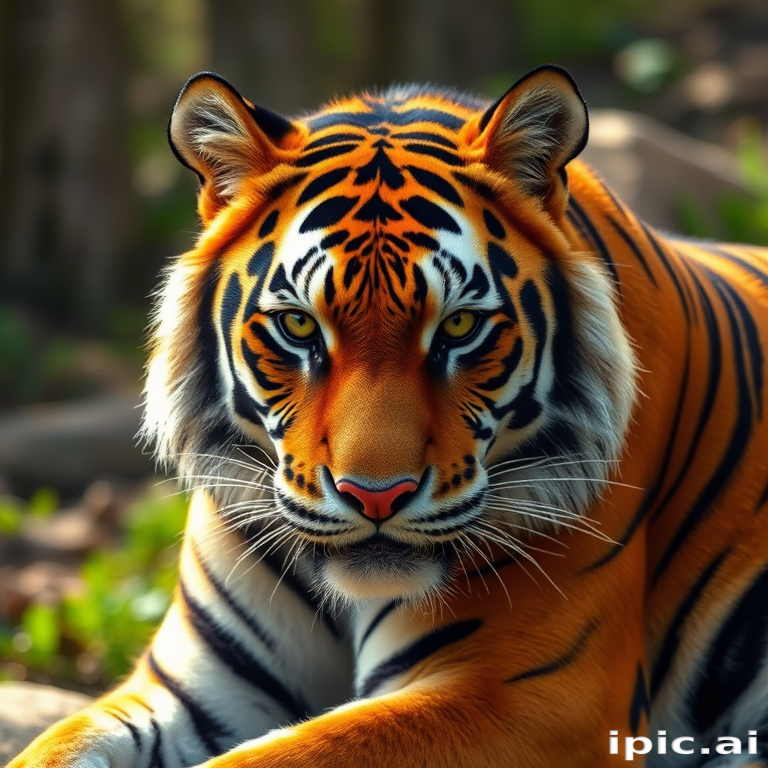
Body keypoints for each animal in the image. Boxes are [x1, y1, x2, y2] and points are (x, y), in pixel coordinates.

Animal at [8, 63, 768, 768]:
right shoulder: (189, 688)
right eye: (298, 325)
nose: (376, 496)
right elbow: (56, 746)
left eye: (459, 326)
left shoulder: (536, 699)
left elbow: (283, 755)